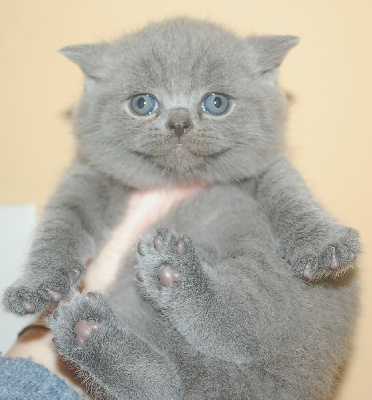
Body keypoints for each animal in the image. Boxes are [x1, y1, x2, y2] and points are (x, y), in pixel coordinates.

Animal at [1, 18, 358, 400]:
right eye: (142, 103)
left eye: (216, 102)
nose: (179, 122)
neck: (177, 181)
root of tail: (281, 383)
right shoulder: (89, 177)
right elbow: (61, 222)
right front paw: (36, 286)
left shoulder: (266, 168)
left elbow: (289, 192)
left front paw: (324, 245)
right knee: (168, 382)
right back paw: (91, 329)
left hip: (283, 280)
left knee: (251, 319)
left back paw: (170, 273)